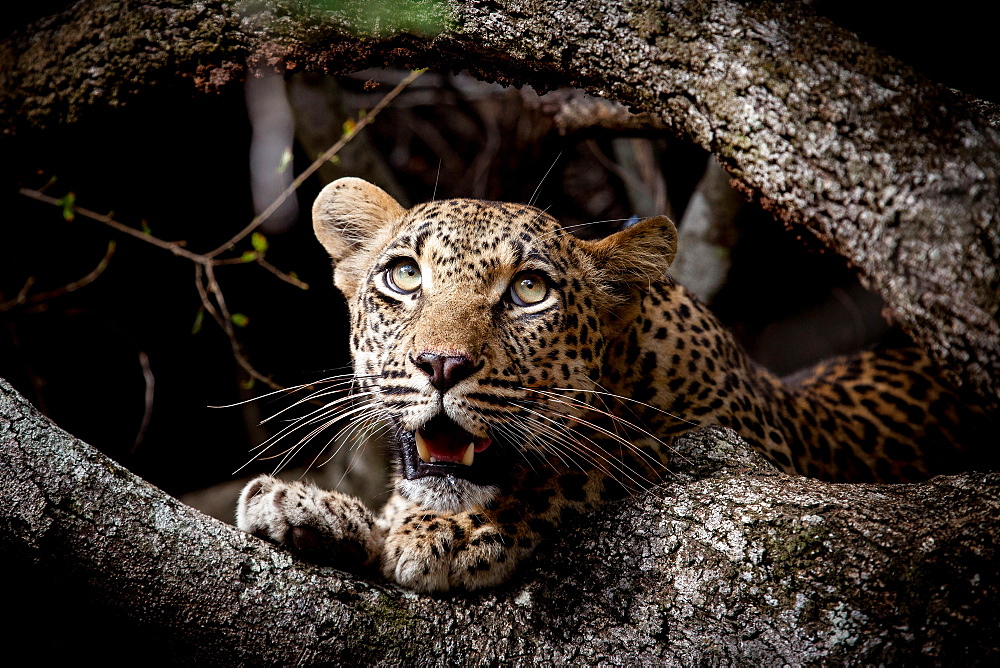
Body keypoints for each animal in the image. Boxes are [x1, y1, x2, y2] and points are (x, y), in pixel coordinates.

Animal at [236, 176, 992, 588]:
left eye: (530, 290)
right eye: (402, 276)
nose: (441, 364)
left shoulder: (721, 452)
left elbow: (587, 469)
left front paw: (450, 534)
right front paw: (311, 509)